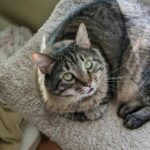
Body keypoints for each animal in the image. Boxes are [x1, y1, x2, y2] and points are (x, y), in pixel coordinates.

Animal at [30, 0, 150, 129]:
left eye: (88, 64)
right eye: (68, 76)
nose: (88, 83)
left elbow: (99, 103)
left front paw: (93, 111)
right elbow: (66, 112)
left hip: (134, 78)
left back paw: (132, 116)